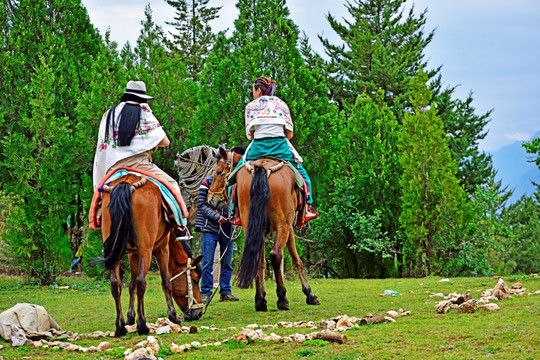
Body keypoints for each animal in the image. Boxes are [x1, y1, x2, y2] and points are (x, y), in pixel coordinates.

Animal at [96, 173, 204, 336]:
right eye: (196, 280)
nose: (198, 313)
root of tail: (127, 184)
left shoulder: (133, 253)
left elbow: (131, 285)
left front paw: (130, 318)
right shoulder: (162, 249)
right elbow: (166, 282)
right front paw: (173, 316)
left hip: (117, 250)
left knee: (116, 284)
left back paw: (120, 327)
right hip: (146, 250)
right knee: (142, 281)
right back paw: (143, 325)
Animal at [208, 148, 318, 310]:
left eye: (219, 172)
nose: (211, 200)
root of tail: (262, 169)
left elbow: (262, 263)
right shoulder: (288, 227)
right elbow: (296, 260)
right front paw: (310, 294)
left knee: (258, 259)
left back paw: (260, 301)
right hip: (283, 224)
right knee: (275, 255)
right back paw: (282, 299)